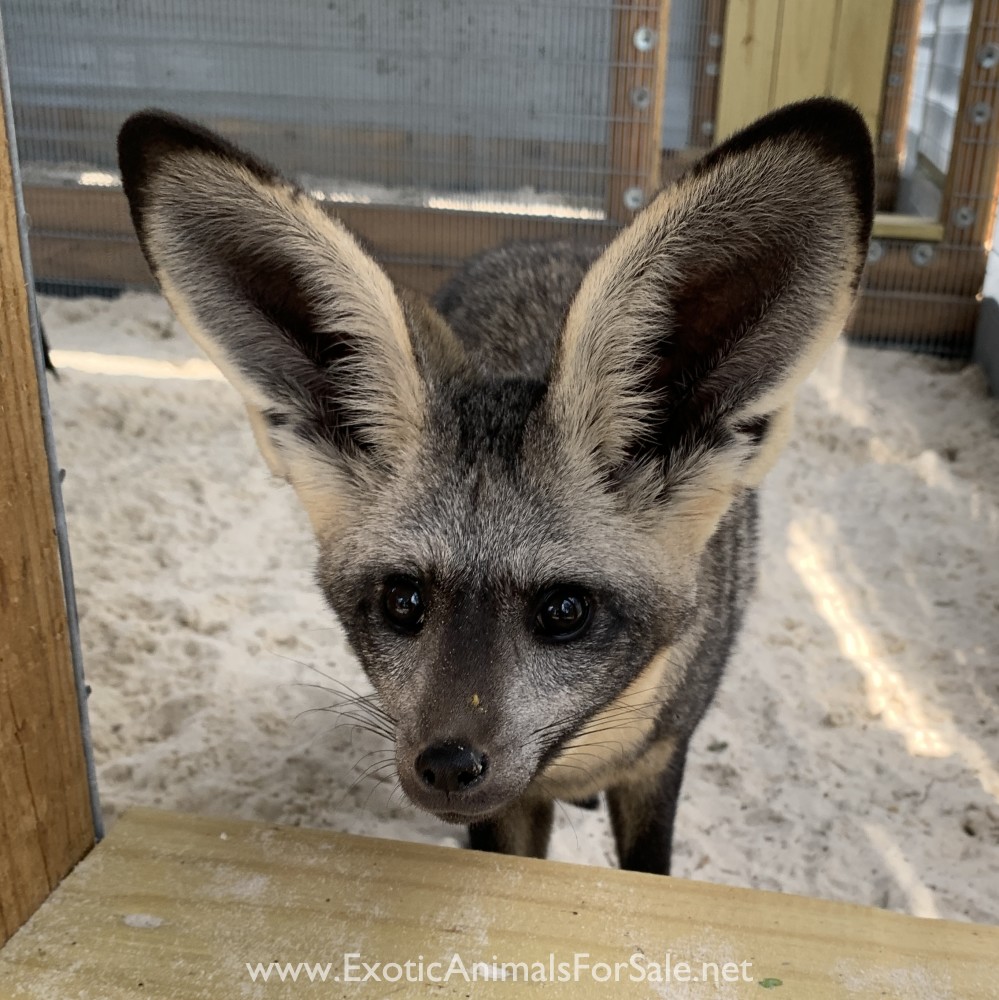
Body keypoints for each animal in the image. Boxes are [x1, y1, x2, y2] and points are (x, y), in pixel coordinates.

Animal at [117, 98, 873, 876]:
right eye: (403, 601)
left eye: (564, 610)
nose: (446, 766)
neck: (581, 759)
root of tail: (541, 241)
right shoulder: (508, 812)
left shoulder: (659, 759)